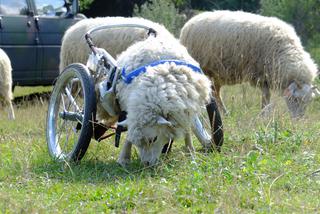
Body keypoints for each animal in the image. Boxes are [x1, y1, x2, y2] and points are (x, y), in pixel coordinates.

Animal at [112, 35, 212, 166]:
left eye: (153, 139)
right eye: (136, 143)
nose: (146, 164)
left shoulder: (184, 110)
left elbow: (187, 130)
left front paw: (190, 152)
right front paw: (124, 158)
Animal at [181, 10, 318, 118]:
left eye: (308, 102)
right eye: (294, 99)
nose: (298, 120)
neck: (284, 51)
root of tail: (190, 21)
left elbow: (266, 97)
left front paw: (264, 114)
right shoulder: (260, 74)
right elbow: (266, 96)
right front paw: (264, 115)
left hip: (216, 74)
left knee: (215, 93)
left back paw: (224, 113)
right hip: (204, 70)